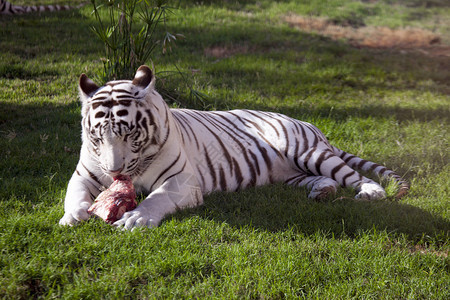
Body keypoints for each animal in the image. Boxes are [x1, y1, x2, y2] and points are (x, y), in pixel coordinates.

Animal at [59, 66, 408, 230]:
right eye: (98, 138)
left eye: (131, 135)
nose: (115, 171)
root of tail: (306, 123)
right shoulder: (83, 174)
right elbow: (73, 194)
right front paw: (73, 216)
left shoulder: (182, 182)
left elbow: (158, 197)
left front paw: (135, 220)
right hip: (293, 174)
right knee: (326, 180)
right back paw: (321, 193)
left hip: (309, 153)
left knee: (351, 176)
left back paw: (370, 192)